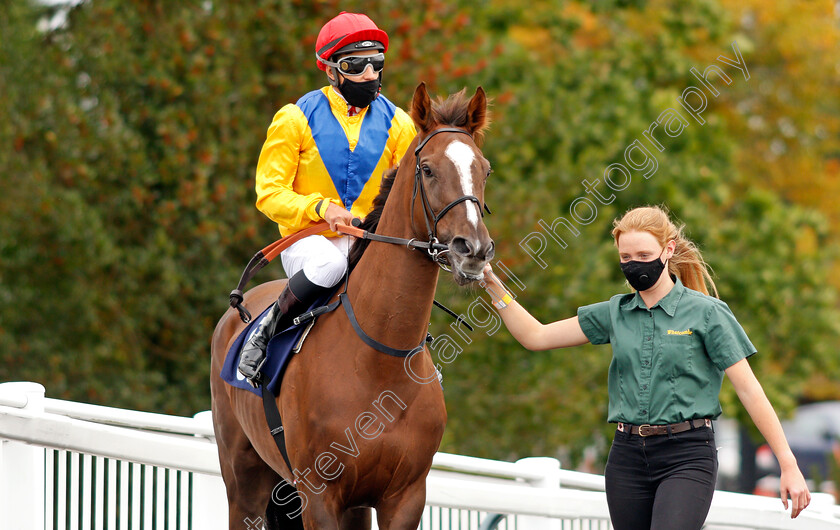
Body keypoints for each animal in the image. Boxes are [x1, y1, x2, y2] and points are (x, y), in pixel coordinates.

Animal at [210, 83, 496, 528]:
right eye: (428, 169)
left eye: (484, 169)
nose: (474, 250)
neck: (380, 359)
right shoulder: (319, 494)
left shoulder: (404, 497)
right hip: (243, 481)